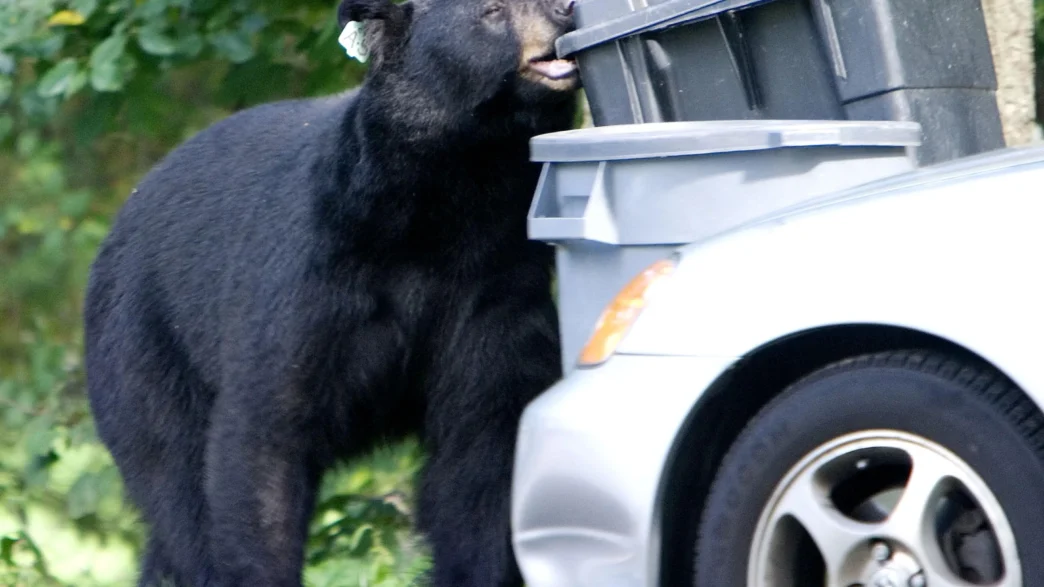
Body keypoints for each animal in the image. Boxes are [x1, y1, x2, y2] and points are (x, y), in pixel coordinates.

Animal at [81, 0, 578, 583]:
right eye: (492, 11)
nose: (565, 10)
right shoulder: (311, 276)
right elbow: (265, 437)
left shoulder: (494, 288)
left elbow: (482, 450)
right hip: (144, 354)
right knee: (175, 483)